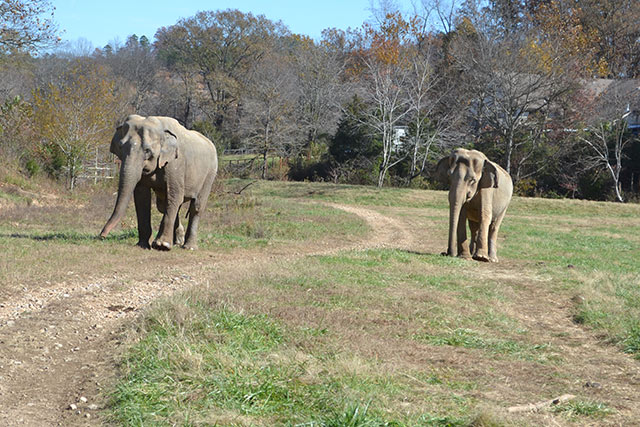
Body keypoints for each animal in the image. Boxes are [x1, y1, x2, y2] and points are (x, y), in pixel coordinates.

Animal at [100, 115, 219, 252]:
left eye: (147, 151)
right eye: (120, 147)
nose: (102, 236)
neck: (160, 126)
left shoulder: (176, 164)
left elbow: (175, 195)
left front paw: (162, 246)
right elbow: (142, 197)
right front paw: (142, 245)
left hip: (210, 174)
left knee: (196, 207)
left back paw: (189, 247)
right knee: (164, 205)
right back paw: (178, 241)